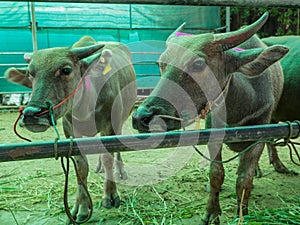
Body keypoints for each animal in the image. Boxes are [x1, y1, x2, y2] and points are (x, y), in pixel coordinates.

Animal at [5, 36, 137, 222]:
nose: (31, 114)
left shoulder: (109, 126)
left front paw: (110, 195)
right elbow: (81, 166)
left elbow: (108, 157)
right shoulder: (70, 131)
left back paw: (120, 170)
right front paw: (80, 207)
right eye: (30, 73)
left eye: (66, 70)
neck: (86, 104)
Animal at [132, 13, 290, 224]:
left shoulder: (259, 136)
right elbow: (216, 174)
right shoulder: (213, 135)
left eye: (198, 64)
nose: (141, 117)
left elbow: (244, 179)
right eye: (161, 64)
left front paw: (243, 211)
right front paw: (212, 212)